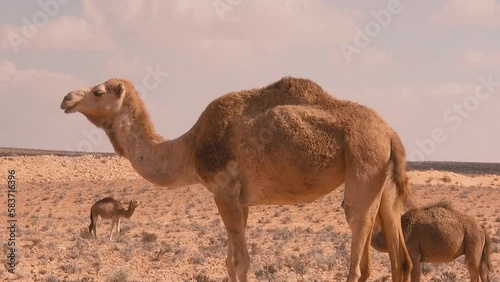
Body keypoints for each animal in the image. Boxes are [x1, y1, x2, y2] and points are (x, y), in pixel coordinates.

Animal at [60, 76, 414, 280]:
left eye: (98, 91)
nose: (66, 99)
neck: (190, 147)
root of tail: (390, 132)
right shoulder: (239, 199)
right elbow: (230, 261)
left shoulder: (224, 190)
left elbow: (241, 261)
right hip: (384, 181)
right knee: (400, 260)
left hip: (364, 163)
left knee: (358, 253)